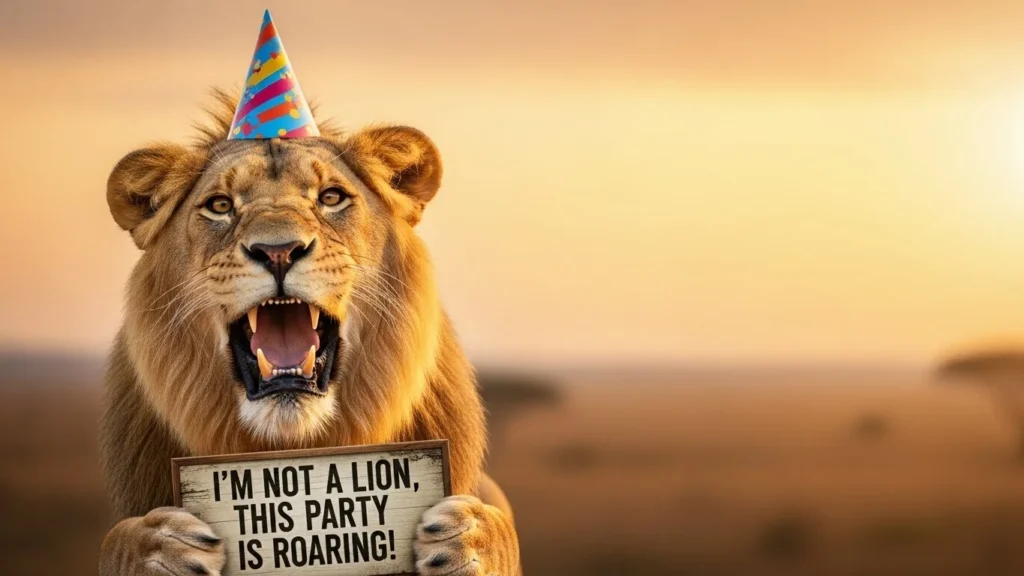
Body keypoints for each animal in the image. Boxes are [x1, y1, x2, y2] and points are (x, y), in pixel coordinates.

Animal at [97, 90, 520, 576]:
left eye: (331, 197)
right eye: (220, 205)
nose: (278, 251)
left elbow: (498, 531)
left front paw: (463, 537)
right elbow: (117, 539)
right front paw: (163, 547)